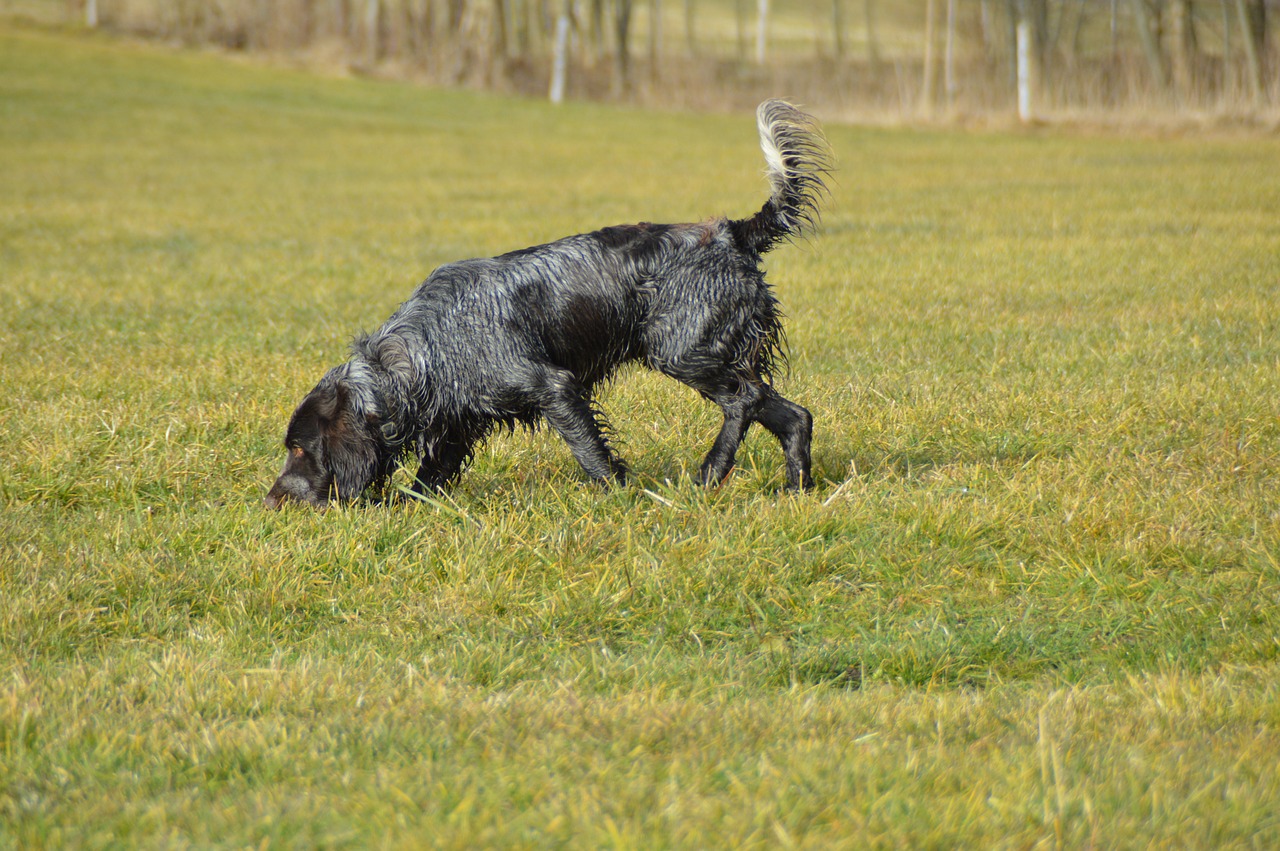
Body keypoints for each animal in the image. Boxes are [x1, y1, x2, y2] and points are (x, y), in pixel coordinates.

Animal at [264, 102, 834, 506]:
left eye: (300, 448)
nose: (270, 502)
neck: (429, 345)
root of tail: (733, 233)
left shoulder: (554, 388)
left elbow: (592, 455)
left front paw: (620, 500)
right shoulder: (459, 420)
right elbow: (430, 477)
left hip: (683, 351)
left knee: (743, 401)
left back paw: (710, 473)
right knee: (792, 414)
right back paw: (795, 493)